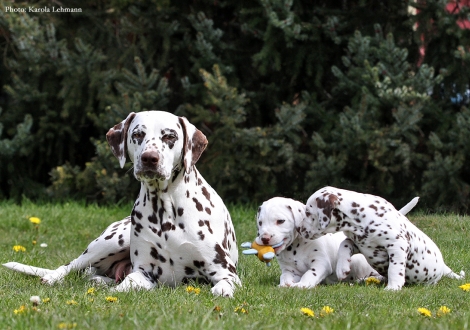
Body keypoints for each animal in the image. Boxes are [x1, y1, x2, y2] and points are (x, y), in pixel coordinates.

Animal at [5, 112, 242, 298]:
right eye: (137, 134)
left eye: (170, 136)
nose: (149, 158)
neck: (165, 210)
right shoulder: (142, 273)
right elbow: (125, 285)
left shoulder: (226, 272)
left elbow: (224, 285)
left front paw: (222, 290)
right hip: (111, 242)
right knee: (71, 265)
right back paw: (53, 277)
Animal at [255, 197, 416, 288]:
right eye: (260, 223)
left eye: (280, 221)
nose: (265, 238)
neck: (296, 247)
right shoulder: (289, 270)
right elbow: (284, 277)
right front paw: (284, 284)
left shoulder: (320, 263)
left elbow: (310, 274)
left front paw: (302, 285)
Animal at [300, 187, 464, 290]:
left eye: (308, 212)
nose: (300, 229)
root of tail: (443, 267)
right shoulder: (361, 244)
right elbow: (344, 244)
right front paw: (342, 268)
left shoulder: (397, 245)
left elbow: (395, 269)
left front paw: (393, 287)